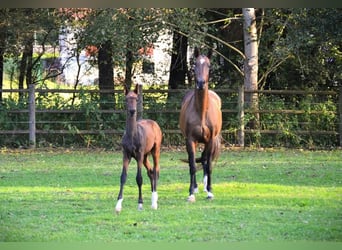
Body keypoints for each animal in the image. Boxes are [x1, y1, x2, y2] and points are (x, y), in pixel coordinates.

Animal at [115, 84, 163, 213]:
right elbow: (123, 177)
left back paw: (154, 201)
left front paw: (140, 204)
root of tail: (154, 123)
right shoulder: (126, 154)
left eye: (136, 99)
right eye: (126, 99)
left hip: (154, 151)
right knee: (150, 172)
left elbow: (139, 178)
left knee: (156, 171)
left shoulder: (139, 154)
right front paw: (118, 205)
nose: (132, 111)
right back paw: (153, 198)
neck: (132, 135)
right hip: (144, 156)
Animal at [178, 47, 223, 202]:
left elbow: (208, 165)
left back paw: (205, 187)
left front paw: (210, 191)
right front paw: (191, 193)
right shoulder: (190, 140)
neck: (202, 112)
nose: (201, 83)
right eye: (195, 64)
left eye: (208, 65)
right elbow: (192, 165)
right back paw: (197, 187)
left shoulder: (210, 140)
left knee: (204, 160)